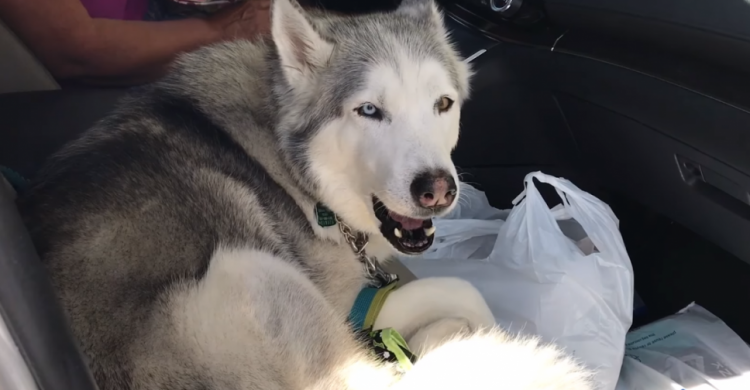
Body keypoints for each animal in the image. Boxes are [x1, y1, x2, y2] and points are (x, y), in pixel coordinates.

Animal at [19, 0, 592, 390]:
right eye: (369, 110)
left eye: (443, 104)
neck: (296, 172)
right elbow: (464, 291)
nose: (437, 191)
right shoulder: (337, 302)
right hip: (252, 272)